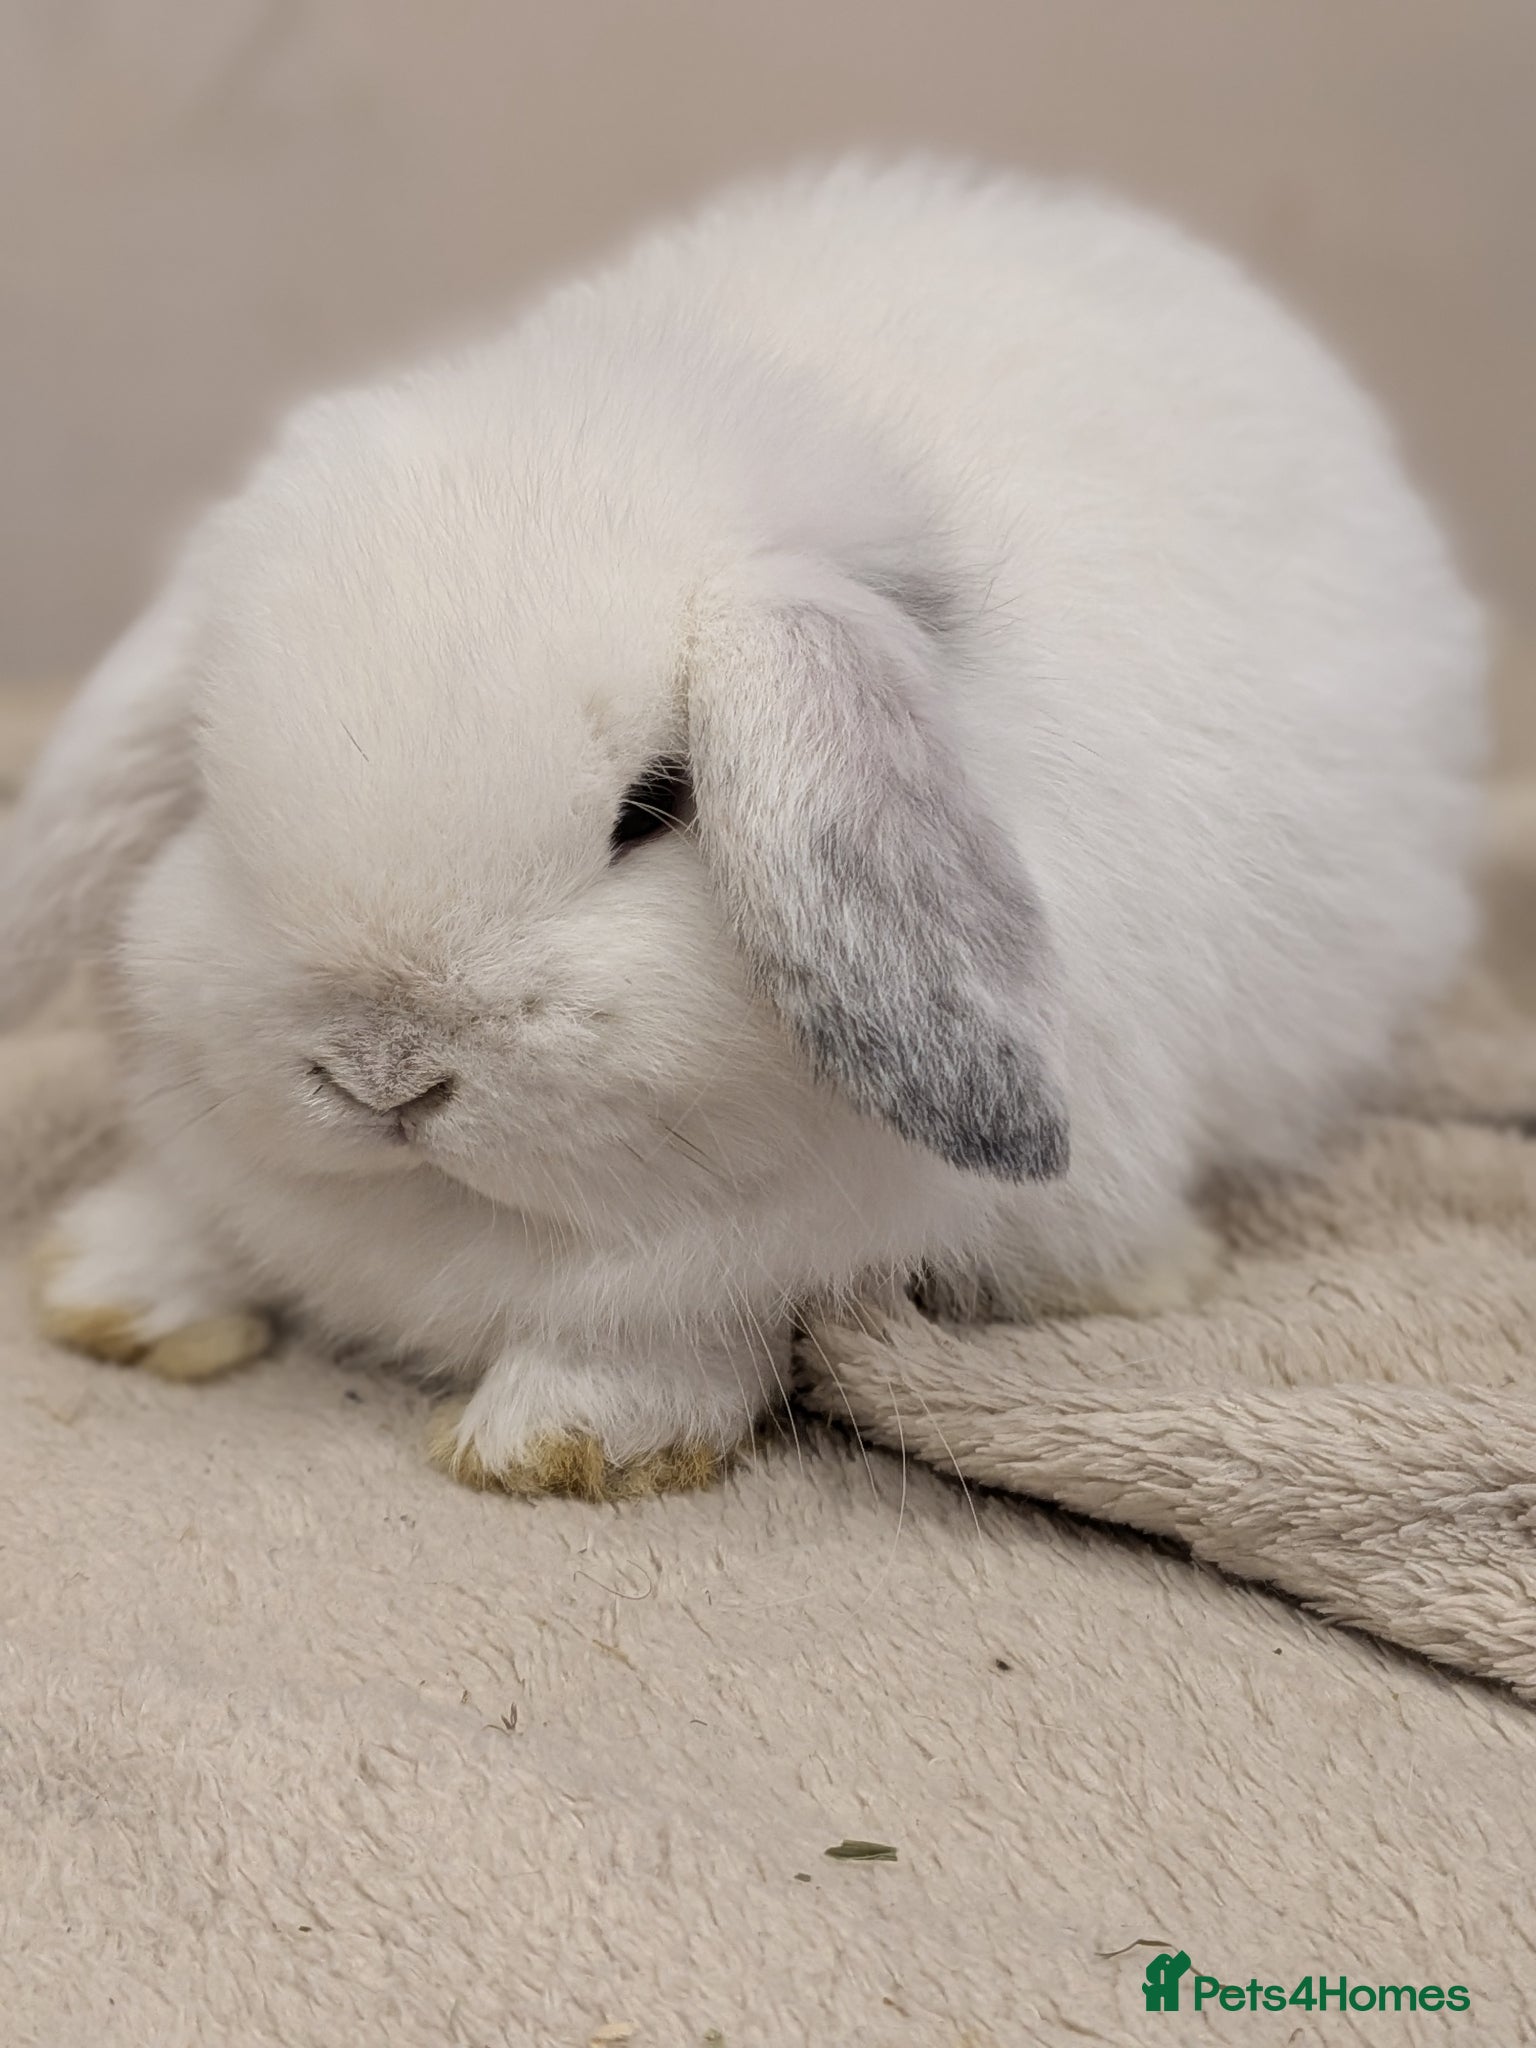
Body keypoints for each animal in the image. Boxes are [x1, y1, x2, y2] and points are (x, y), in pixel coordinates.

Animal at [3, 158, 1485, 1499]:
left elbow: (677, 1325)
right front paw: (114, 1288)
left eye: (656, 805)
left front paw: (565, 1441)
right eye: (211, 789)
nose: (382, 1073)